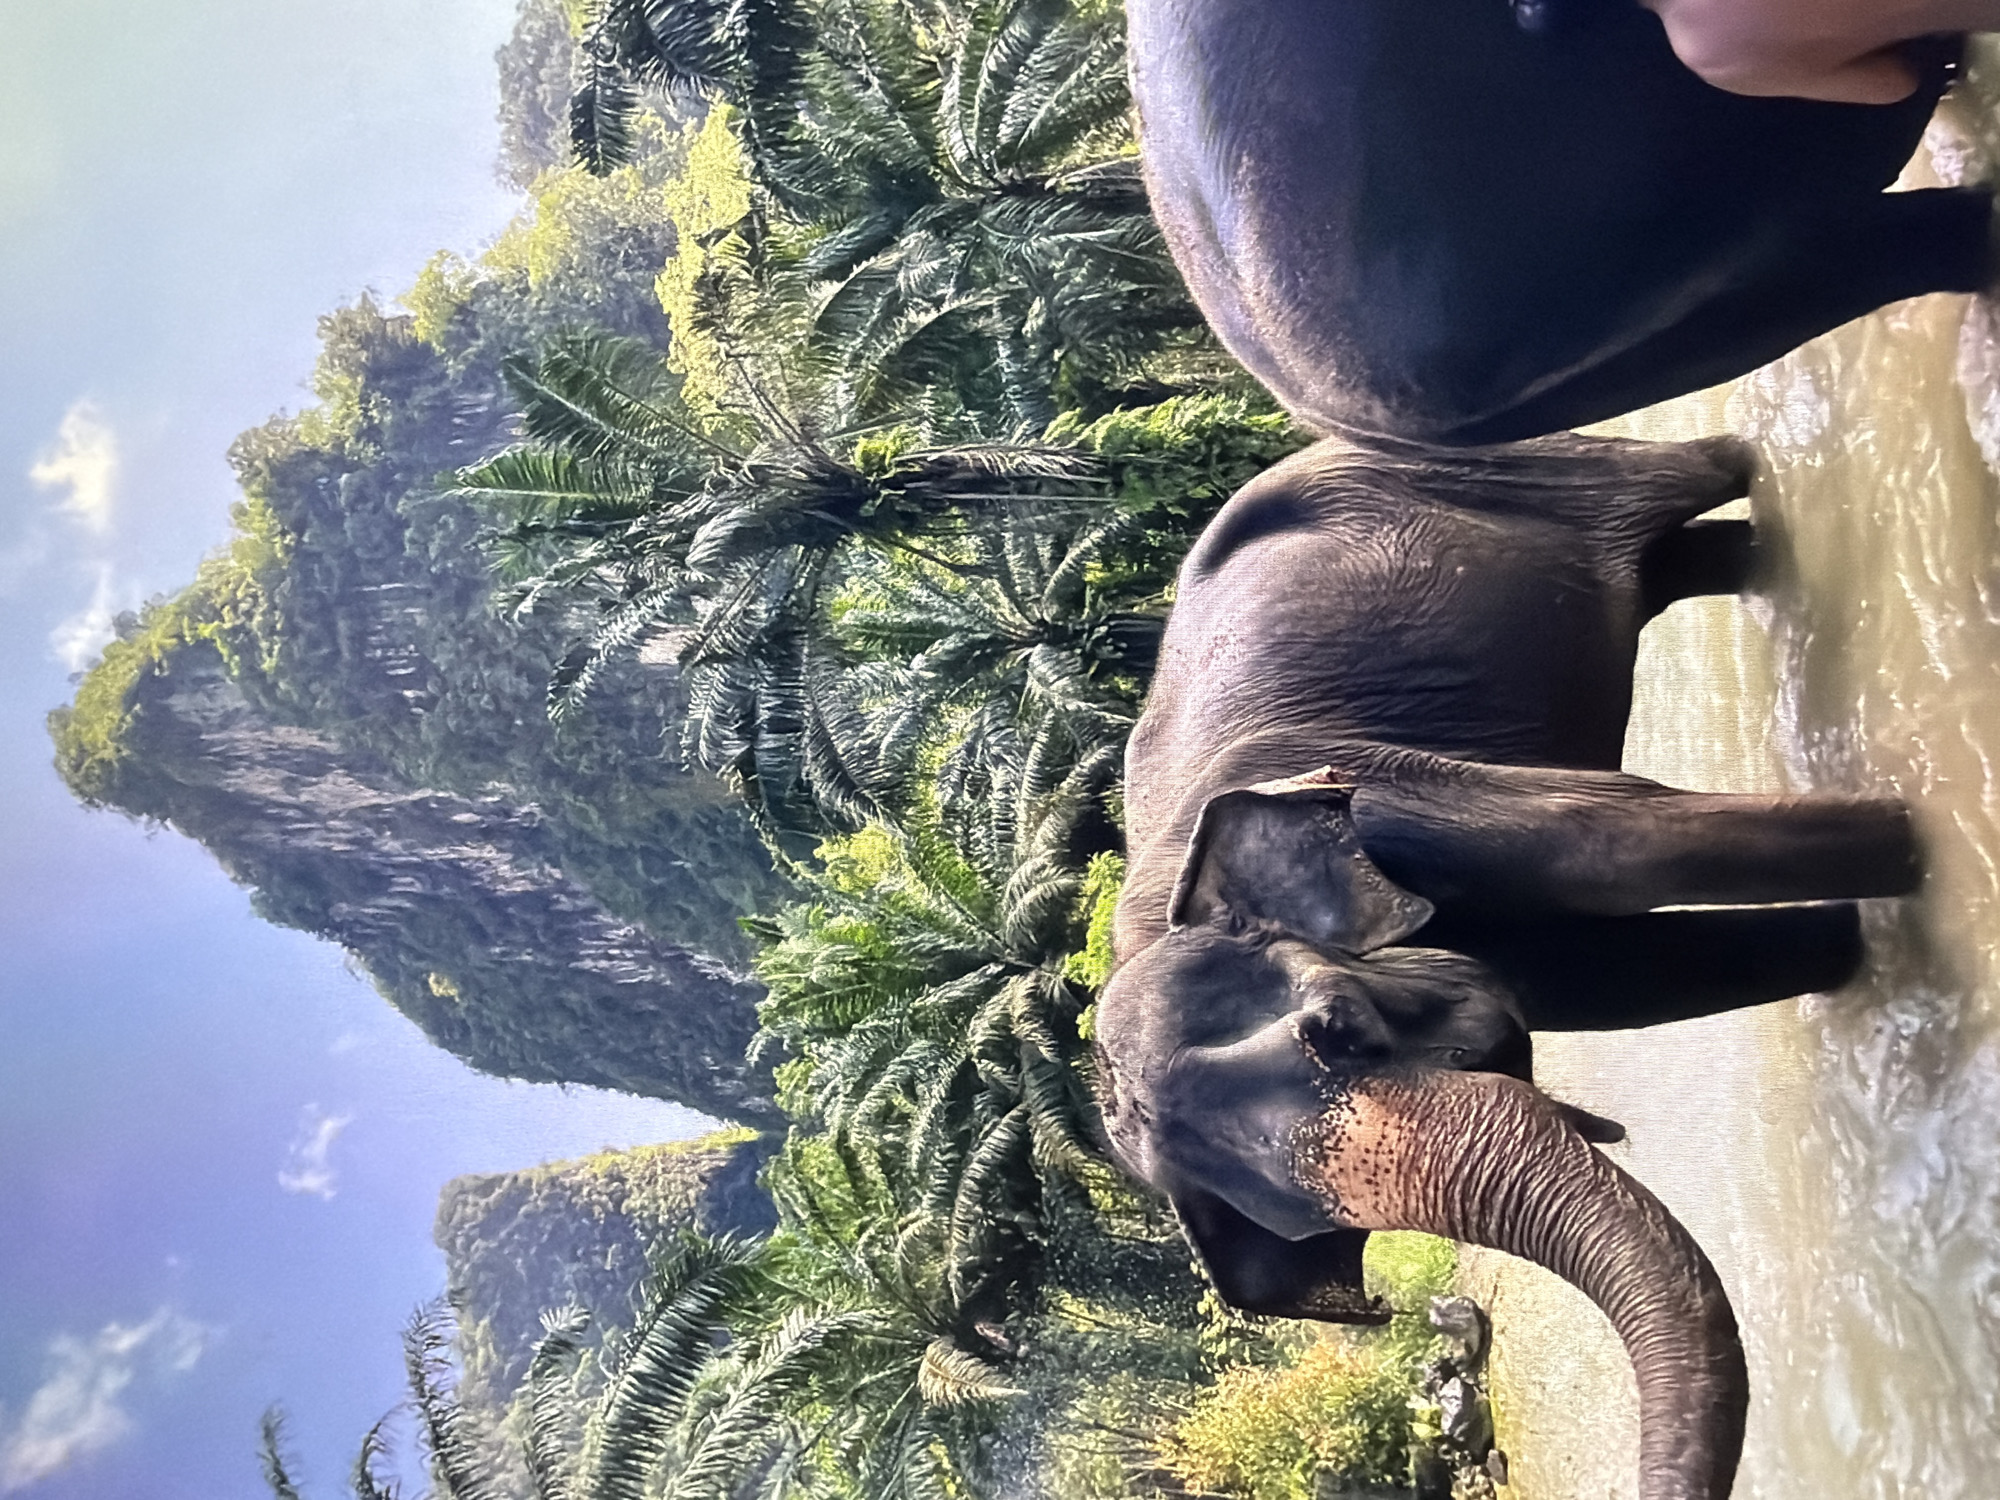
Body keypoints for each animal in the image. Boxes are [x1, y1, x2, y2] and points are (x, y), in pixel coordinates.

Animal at [1093, 432, 1924, 1500]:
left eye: (1339, 1027)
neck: (1157, 921)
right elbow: (1635, 977)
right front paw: (1855, 942)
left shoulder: (1395, 788)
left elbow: (1612, 845)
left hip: (1498, 469)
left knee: (1688, 476)